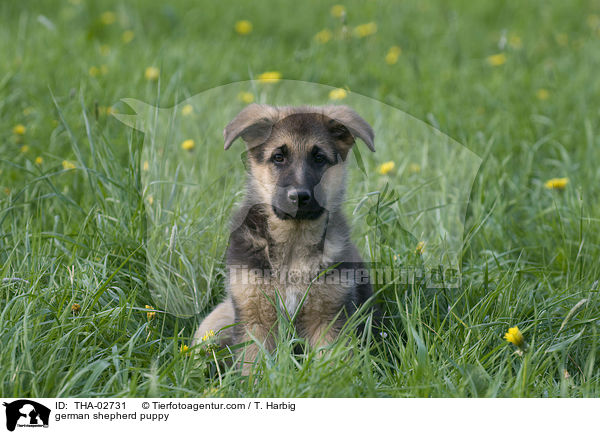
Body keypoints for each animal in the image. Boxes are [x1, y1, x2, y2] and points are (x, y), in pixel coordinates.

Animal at [193, 102, 376, 372]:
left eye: (319, 158)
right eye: (278, 157)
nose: (299, 197)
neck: (293, 244)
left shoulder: (329, 320)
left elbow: (332, 367)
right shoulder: (255, 319)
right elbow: (253, 366)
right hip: (216, 324)